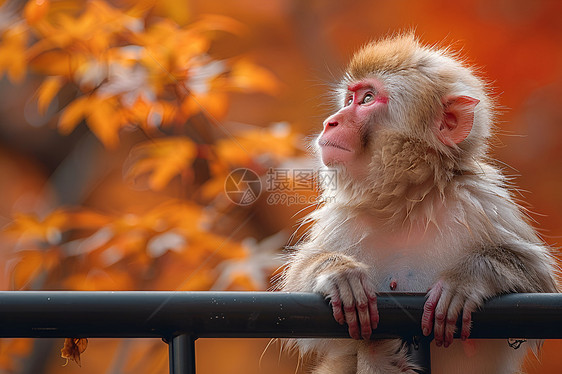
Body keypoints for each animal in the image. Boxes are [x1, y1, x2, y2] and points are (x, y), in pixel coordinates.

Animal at [278, 32, 556, 374]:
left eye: (367, 99)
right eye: (349, 99)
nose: (331, 122)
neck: (406, 202)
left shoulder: (480, 201)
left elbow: (538, 282)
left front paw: (465, 280)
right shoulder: (343, 219)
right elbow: (298, 302)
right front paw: (339, 273)